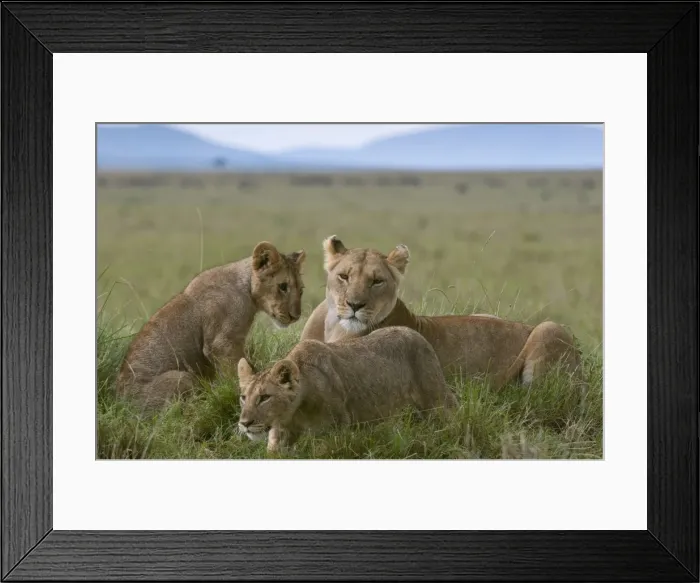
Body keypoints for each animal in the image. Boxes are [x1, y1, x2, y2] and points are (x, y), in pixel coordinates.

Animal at [115, 241, 306, 411]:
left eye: (301, 290)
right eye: (283, 286)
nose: (296, 316)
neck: (248, 291)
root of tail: (121, 403)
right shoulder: (222, 344)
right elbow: (234, 374)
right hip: (181, 377)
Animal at [236, 326, 459, 453]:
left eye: (264, 397)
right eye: (244, 397)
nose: (244, 423)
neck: (295, 413)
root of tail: (415, 332)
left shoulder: (337, 431)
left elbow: (325, 451)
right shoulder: (280, 438)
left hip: (436, 399)